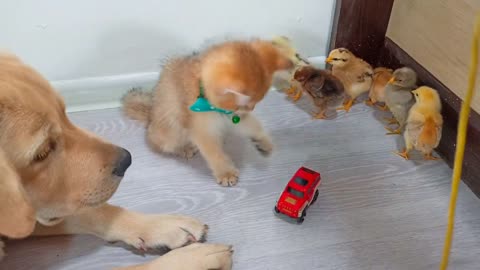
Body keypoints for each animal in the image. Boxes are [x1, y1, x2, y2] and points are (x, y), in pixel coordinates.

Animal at [0, 53, 232, 270]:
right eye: (42, 152)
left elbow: (96, 212)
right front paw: (196, 257)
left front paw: (167, 226)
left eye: (65, 115)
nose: (126, 160)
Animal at [122, 40, 290, 187]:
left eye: (257, 101)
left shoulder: (235, 117)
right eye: (247, 104)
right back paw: (184, 148)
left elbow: (254, 126)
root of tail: (150, 116)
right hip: (170, 131)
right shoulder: (202, 131)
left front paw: (264, 142)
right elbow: (215, 153)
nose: (251, 109)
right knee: (160, 143)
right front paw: (226, 173)